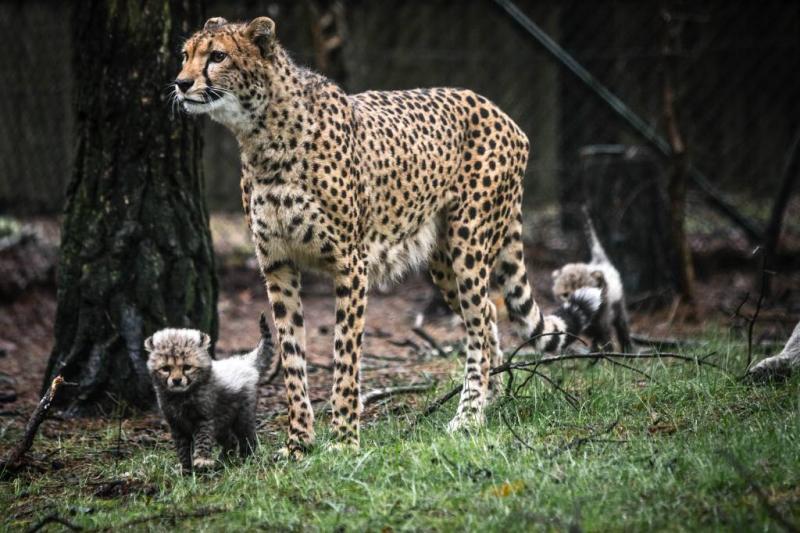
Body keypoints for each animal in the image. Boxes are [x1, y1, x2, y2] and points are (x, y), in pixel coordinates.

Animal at [175, 17, 600, 458]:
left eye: (217, 56)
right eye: (185, 54)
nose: (181, 83)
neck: (262, 136)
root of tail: (495, 108)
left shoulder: (350, 263)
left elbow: (345, 356)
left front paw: (344, 440)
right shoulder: (277, 265)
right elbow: (292, 357)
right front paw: (298, 444)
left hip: (468, 242)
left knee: (480, 319)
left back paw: (469, 415)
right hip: (442, 260)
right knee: (485, 319)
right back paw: (490, 398)